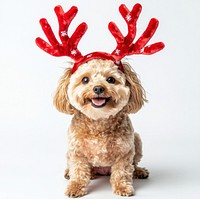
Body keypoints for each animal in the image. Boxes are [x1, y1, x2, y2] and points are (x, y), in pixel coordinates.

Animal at [54, 59, 149, 197]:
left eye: (111, 79)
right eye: (85, 79)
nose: (98, 88)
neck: (99, 121)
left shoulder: (125, 152)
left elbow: (122, 172)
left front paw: (122, 187)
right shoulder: (76, 152)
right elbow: (78, 171)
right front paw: (75, 187)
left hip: (137, 140)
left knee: (133, 164)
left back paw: (139, 171)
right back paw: (71, 173)